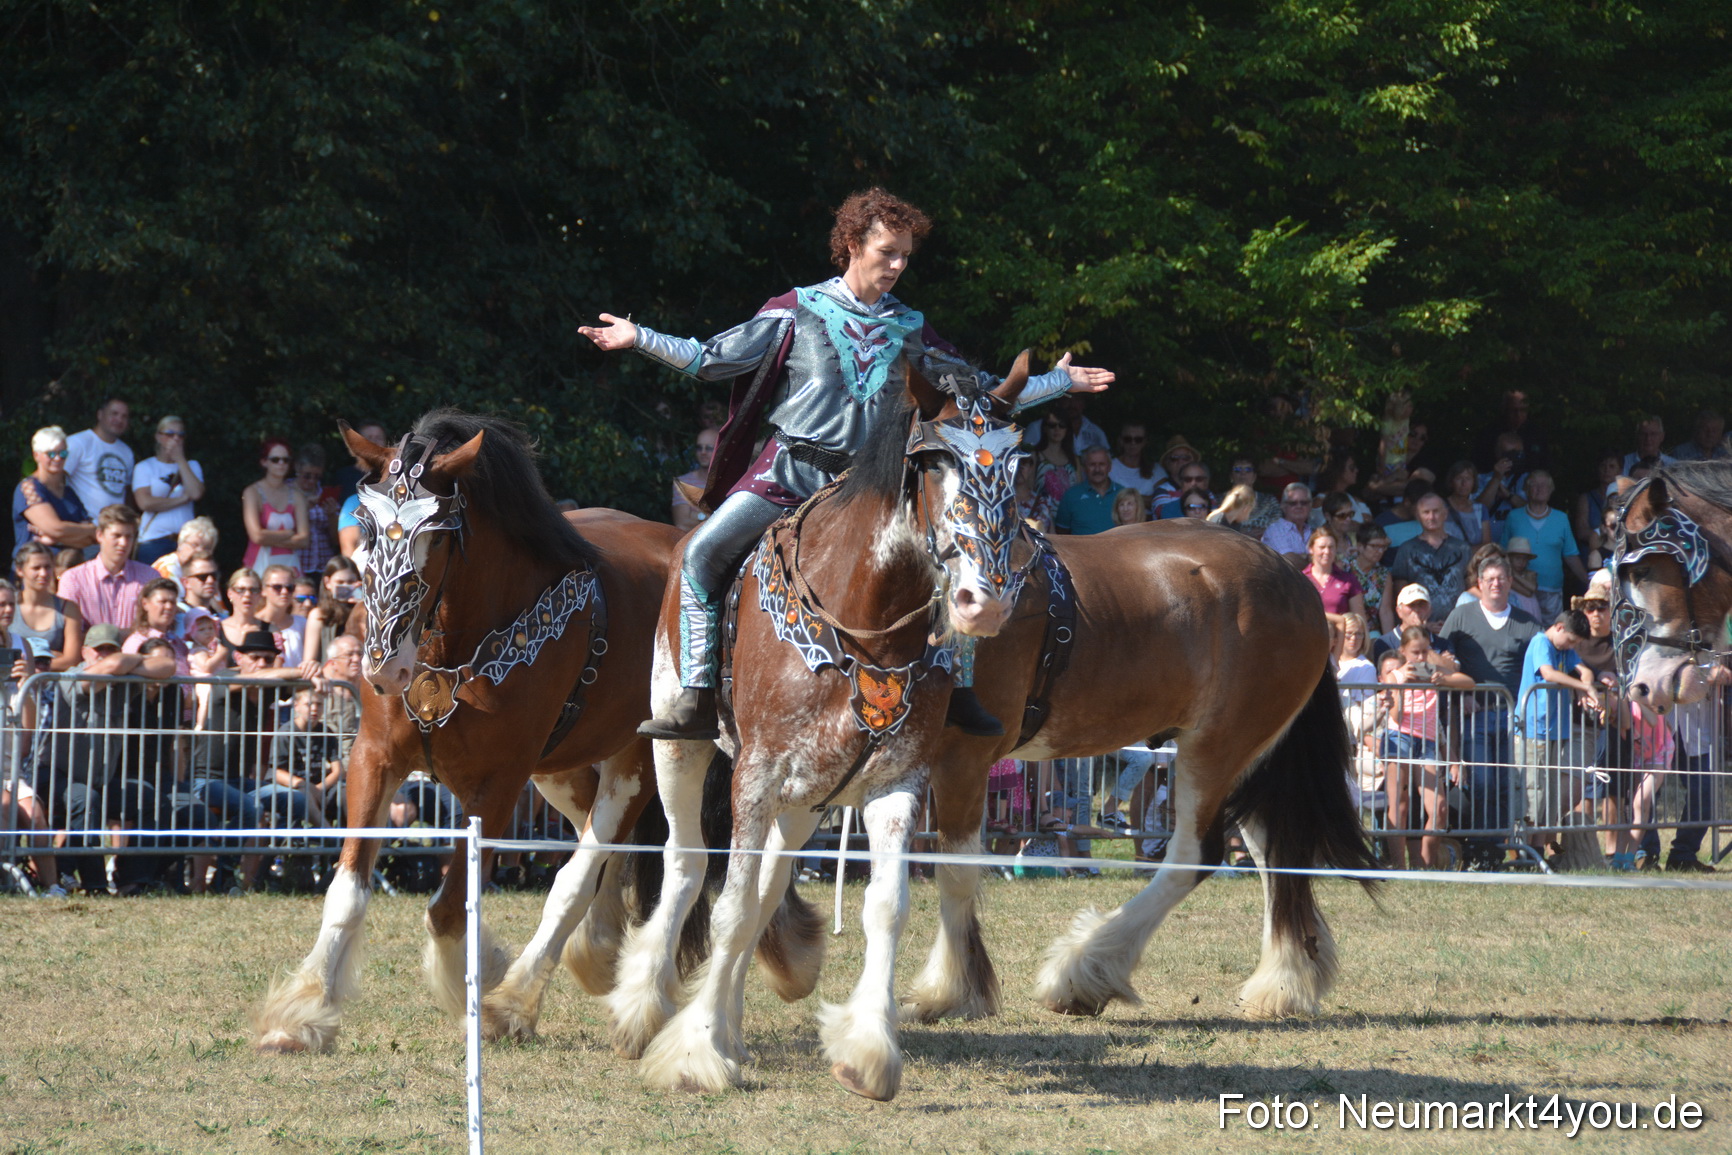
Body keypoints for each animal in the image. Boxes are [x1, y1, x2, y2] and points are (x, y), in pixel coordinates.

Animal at [252, 410, 689, 1051]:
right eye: (366, 528)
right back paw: (598, 949)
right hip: (562, 765)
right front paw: (303, 1011)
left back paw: (527, 998)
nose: (383, 667)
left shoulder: (498, 785)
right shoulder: (374, 760)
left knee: (587, 868)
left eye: (434, 535)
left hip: (639, 759)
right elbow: (347, 892)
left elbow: (448, 908)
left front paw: (476, 991)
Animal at [611, 364, 1377, 1101]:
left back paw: (1090, 969)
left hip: (1216, 746)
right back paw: (1281, 980)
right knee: (1271, 847)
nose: (984, 598)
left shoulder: (954, 759)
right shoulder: (835, 768)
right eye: (930, 461)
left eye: (1015, 465)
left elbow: (946, 870)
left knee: (1197, 852)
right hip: (1239, 748)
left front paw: (944, 990)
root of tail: (1293, 580)